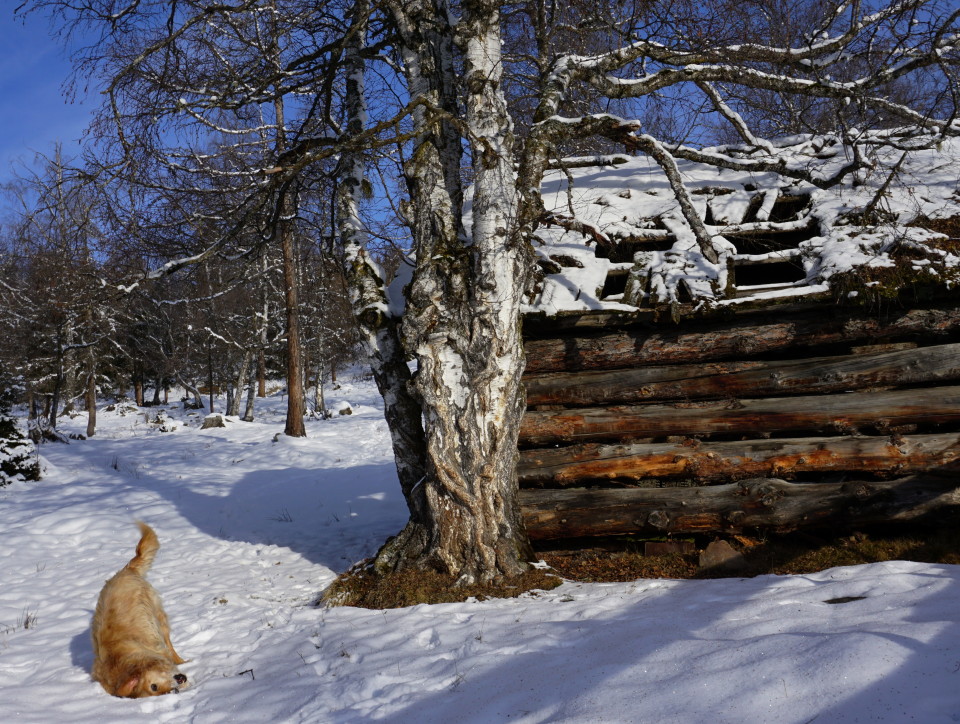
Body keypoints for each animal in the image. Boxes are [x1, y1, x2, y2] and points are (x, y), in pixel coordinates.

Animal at [91, 524, 188, 700]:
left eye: (153, 686)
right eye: (157, 690)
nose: (175, 689)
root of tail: (126, 569)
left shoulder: (157, 647)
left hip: (156, 614)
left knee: (168, 641)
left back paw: (181, 660)